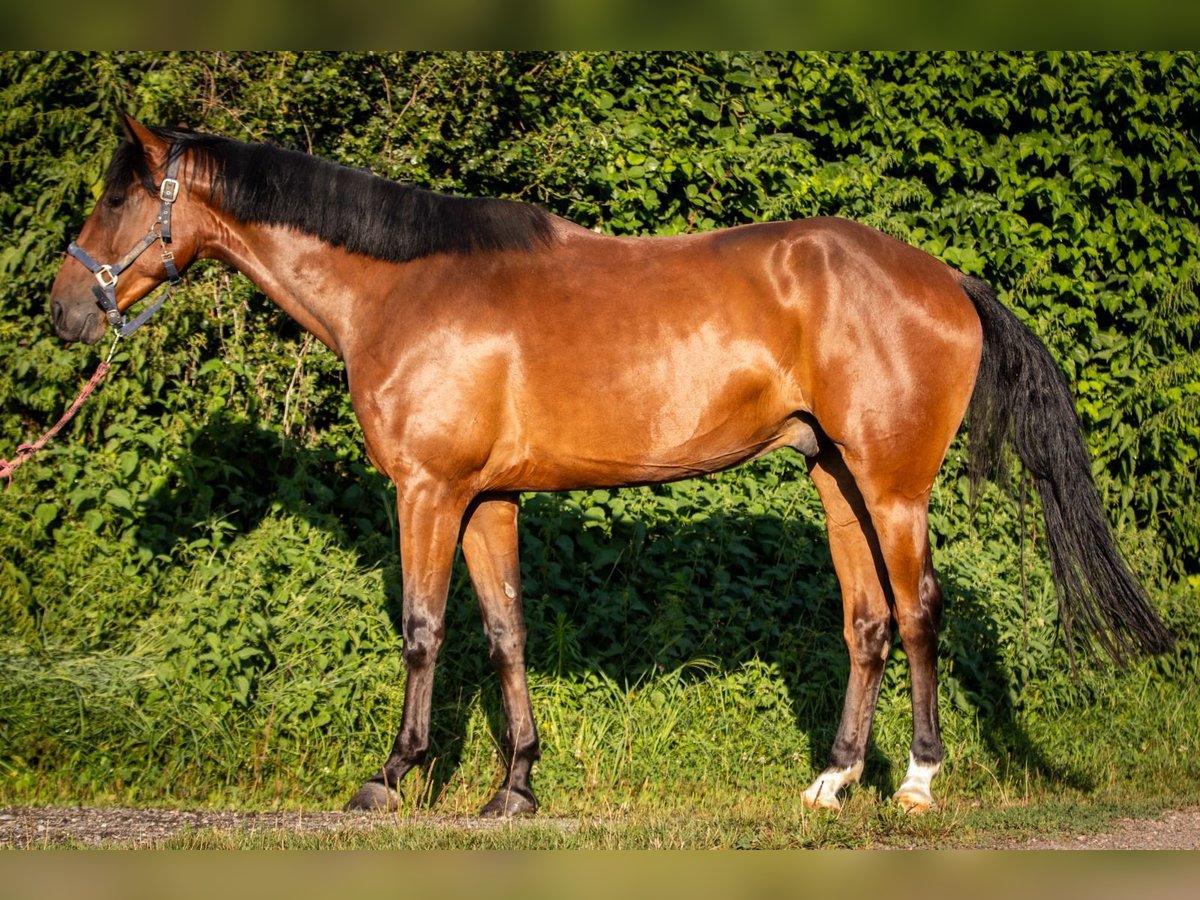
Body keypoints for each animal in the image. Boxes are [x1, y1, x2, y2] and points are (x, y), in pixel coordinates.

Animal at [51, 116, 1166, 820]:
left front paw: (391, 777)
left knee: (922, 610)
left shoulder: (429, 492)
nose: (65, 311)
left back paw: (920, 784)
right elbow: (504, 634)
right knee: (867, 622)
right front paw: (514, 789)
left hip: (893, 489)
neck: (403, 289)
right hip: (836, 479)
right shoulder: (489, 499)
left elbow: (423, 630)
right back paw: (833, 782)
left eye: (117, 200)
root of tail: (946, 279)